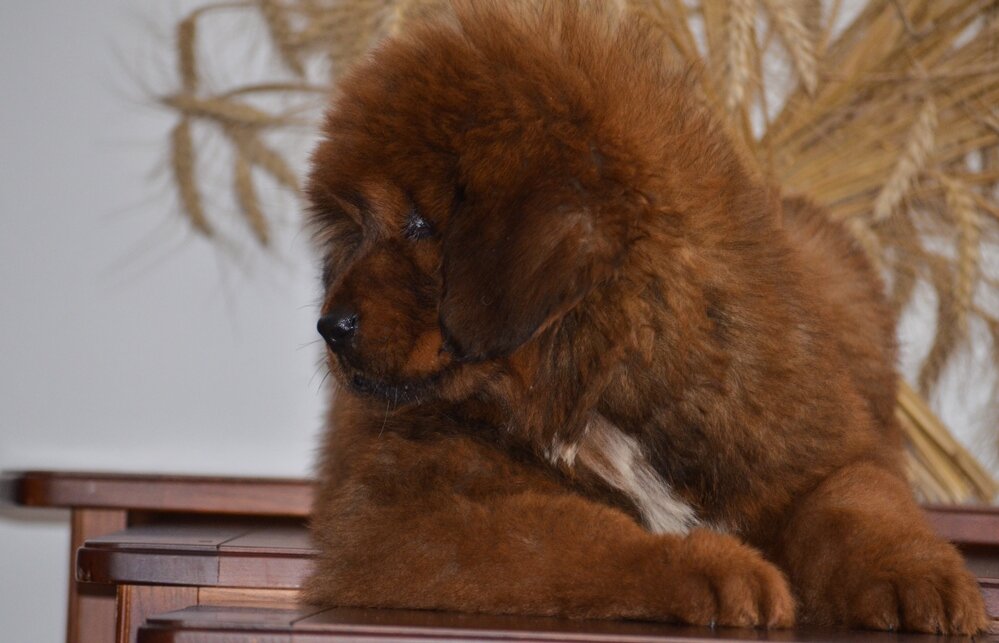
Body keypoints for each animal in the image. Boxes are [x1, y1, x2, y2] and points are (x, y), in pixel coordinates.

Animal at [302, 0, 984, 632]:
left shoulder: (822, 449)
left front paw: (919, 574)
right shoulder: (399, 513)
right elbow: (579, 535)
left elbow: (859, 505)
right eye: (355, 231)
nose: (330, 327)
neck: (599, 377)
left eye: (419, 224)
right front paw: (713, 567)